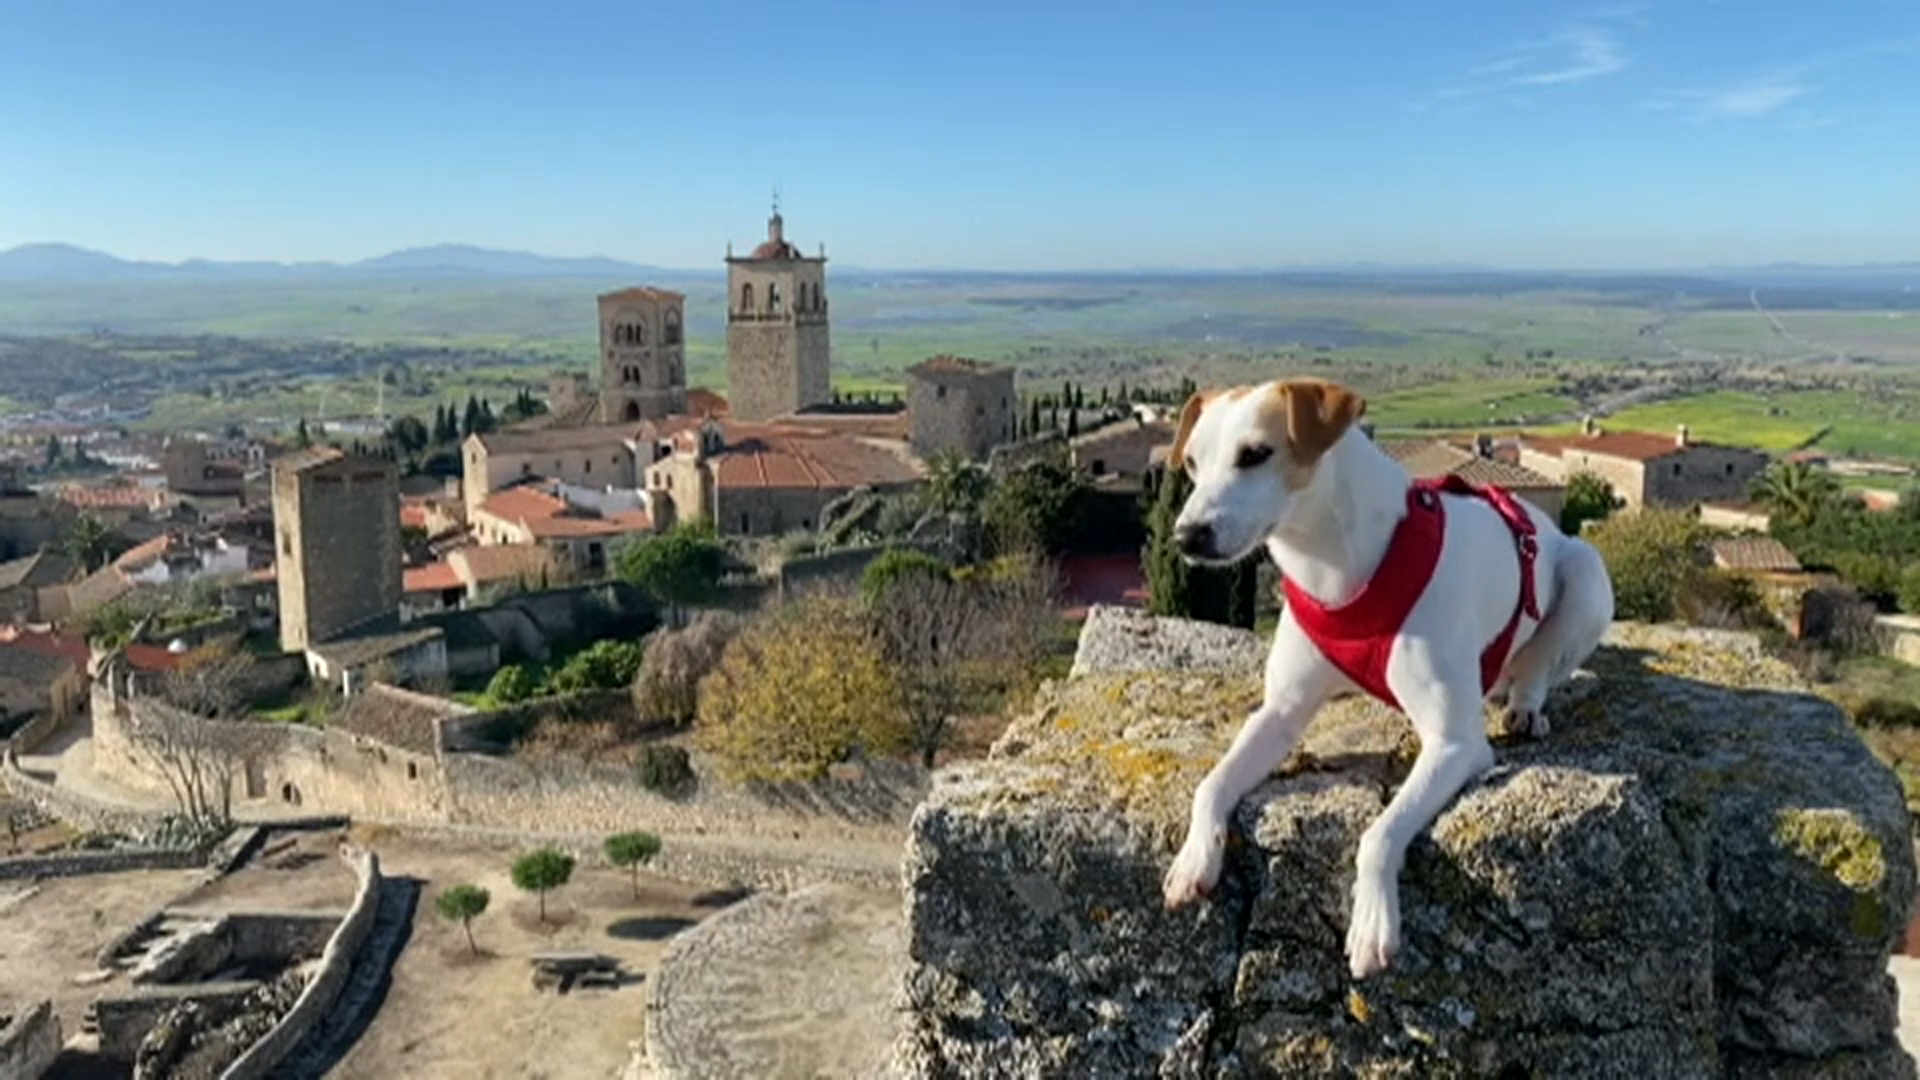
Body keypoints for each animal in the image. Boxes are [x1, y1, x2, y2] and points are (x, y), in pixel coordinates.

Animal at [1159, 376, 1612, 976]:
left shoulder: (1454, 744)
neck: (1333, 566)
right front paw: (1195, 857)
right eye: (1191, 462)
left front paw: (1373, 920)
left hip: (1586, 574)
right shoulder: (1279, 713)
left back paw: (1525, 706)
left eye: (1255, 454)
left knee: (1540, 663)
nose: (1187, 536)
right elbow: (1211, 783)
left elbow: (1379, 834)